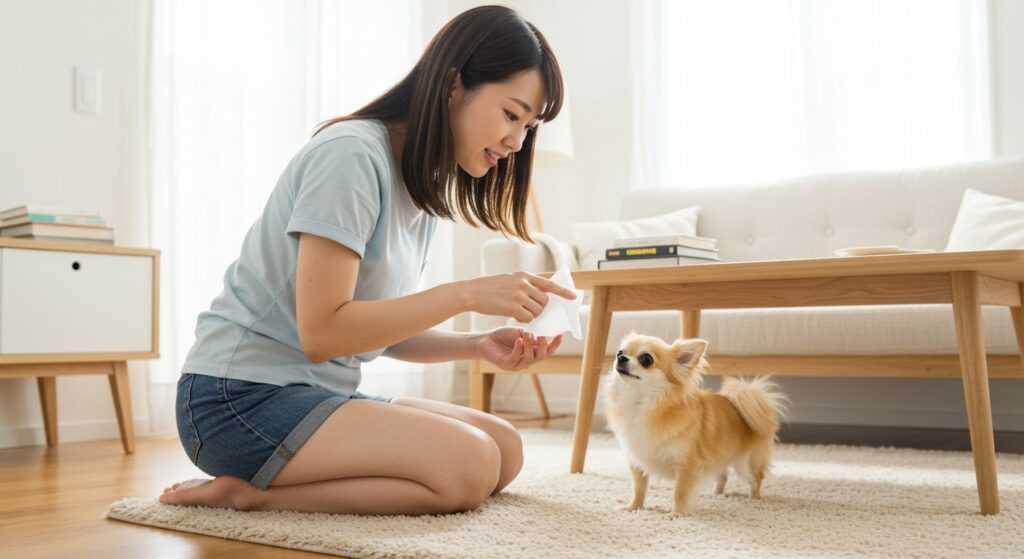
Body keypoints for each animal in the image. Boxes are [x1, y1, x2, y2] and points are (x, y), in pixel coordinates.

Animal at [603, 333, 787, 516]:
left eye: (646, 359)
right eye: (619, 352)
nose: (621, 358)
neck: (641, 404)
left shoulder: (687, 464)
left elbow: (680, 491)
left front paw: (677, 514)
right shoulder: (637, 461)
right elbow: (638, 488)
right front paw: (633, 507)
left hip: (745, 464)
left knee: (755, 480)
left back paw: (753, 500)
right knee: (723, 475)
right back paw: (717, 493)